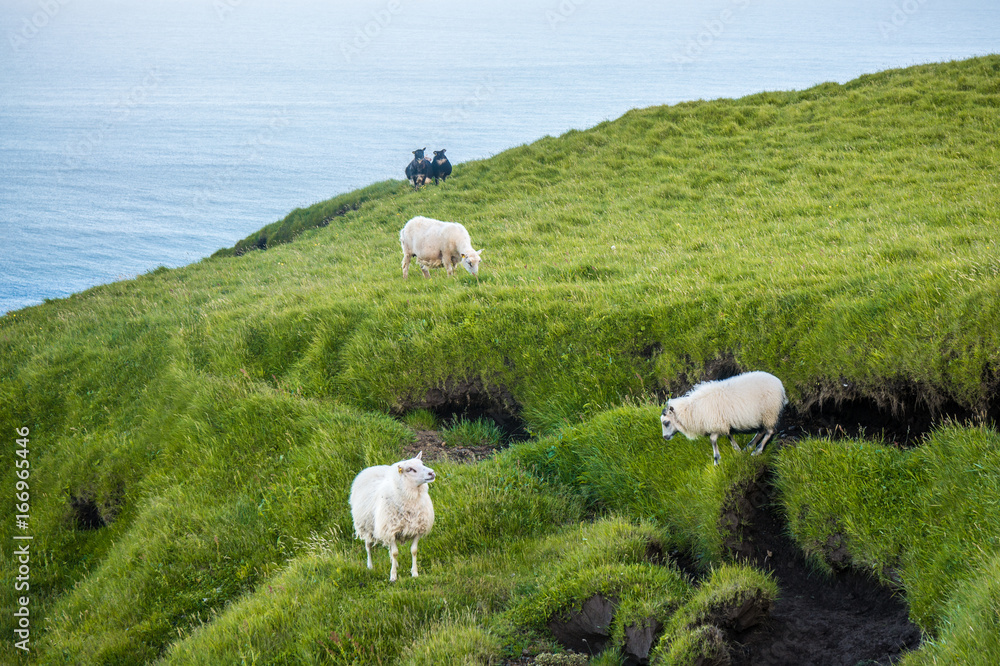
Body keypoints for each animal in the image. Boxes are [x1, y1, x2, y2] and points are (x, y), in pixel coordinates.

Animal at [348, 448, 434, 580]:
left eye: (422, 464)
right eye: (410, 469)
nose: (432, 473)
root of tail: (372, 468)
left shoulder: (417, 529)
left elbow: (413, 551)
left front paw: (414, 573)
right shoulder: (390, 530)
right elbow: (395, 553)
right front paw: (393, 576)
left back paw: (395, 564)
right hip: (367, 527)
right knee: (368, 547)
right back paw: (370, 566)